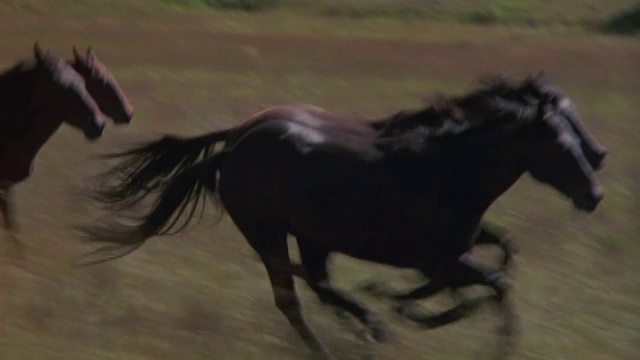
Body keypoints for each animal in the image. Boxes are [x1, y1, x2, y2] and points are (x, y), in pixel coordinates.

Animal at [84, 75, 604, 358]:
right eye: (560, 144)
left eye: (574, 133)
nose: (595, 191)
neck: (446, 168)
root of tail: (232, 146)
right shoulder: (437, 259)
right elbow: (494, 282)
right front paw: (488, 339)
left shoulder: (453, 252)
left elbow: (502, 259)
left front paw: (408, 305)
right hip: (267, 232)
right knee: (293, 298)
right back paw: (356, 334)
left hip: (310, 236)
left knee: (316, 285)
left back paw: (366, 326)